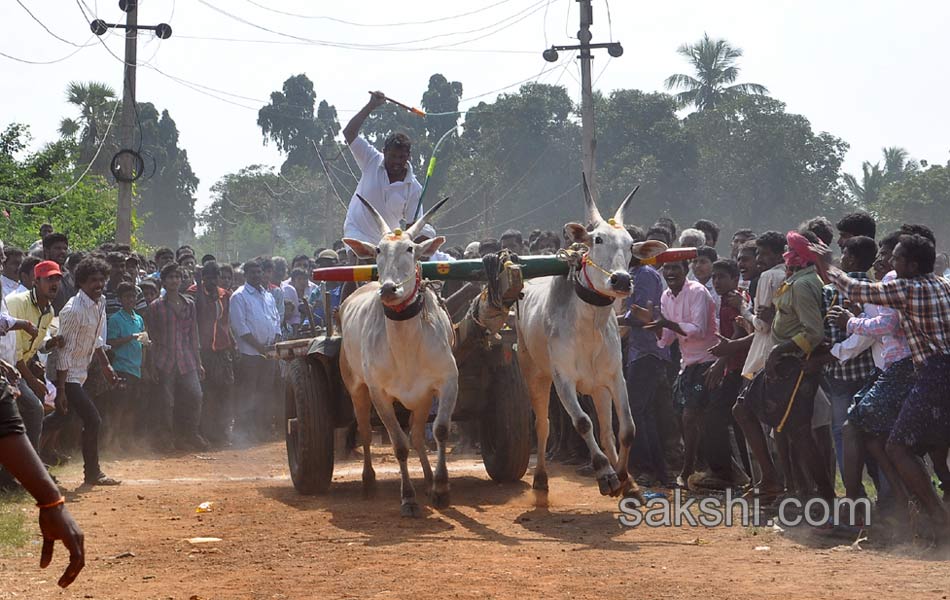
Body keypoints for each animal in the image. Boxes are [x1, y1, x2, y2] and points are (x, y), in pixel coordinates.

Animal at [342, 196, 462, 516]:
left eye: (410, 248)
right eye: (378, 250)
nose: (388, 289)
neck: (406, 345)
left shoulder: (446, 382)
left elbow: (439, 431)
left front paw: (441, 488)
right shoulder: (379, 393)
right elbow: (399, 444)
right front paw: (408, 497)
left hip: (420, 399)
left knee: (419, 435)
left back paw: (430, 480)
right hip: (356, 388)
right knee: (365, 433)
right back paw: (368, 481)